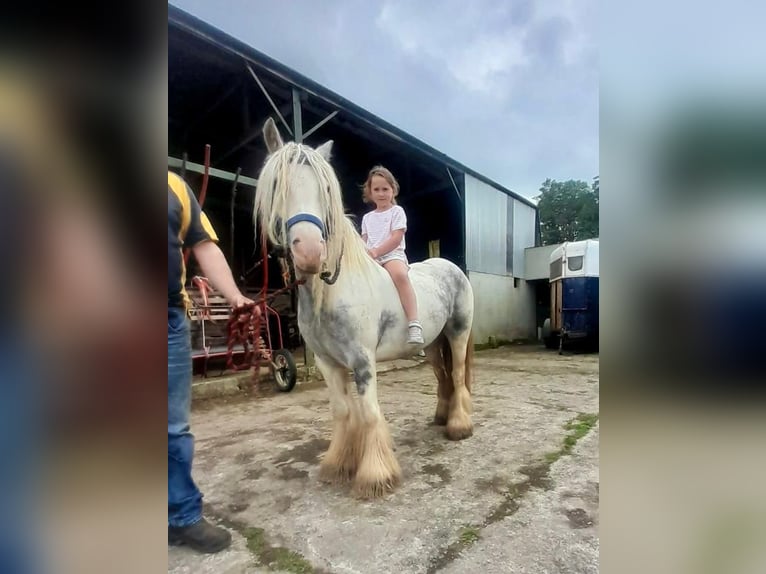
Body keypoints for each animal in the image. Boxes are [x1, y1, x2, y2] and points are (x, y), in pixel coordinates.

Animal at [255, 118, 476, 500]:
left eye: (326, 190)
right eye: (276, 185)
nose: (310, 252)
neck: (334, 289)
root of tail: (451, 266)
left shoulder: (361, 360)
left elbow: (369, 413)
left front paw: (374, 476)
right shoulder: (328, 363)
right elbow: (343, 411)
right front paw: (338, 465)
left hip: (457, 332)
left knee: (459, 374)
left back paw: (458, 427)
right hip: (434, 344)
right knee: (443, 376)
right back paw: (441, 417)